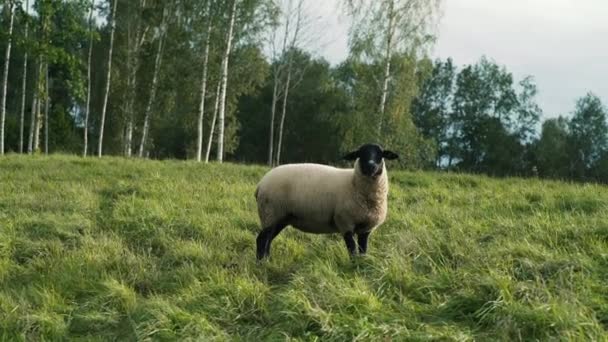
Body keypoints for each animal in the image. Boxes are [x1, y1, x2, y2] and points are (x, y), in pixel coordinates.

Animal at [252, 143, 400, 260]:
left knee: (268, 239)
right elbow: (352, 250)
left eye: (380, 154)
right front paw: (353, 265)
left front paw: (361, 264)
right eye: (360, 154)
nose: (371, 166)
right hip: (270, 213)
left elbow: (363, 250)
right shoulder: (345, 222)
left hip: (280, 217)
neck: (353, 183)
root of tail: (260, 184)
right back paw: (261, 263)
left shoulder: (366, 228)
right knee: (262, 239)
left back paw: (267, 260)